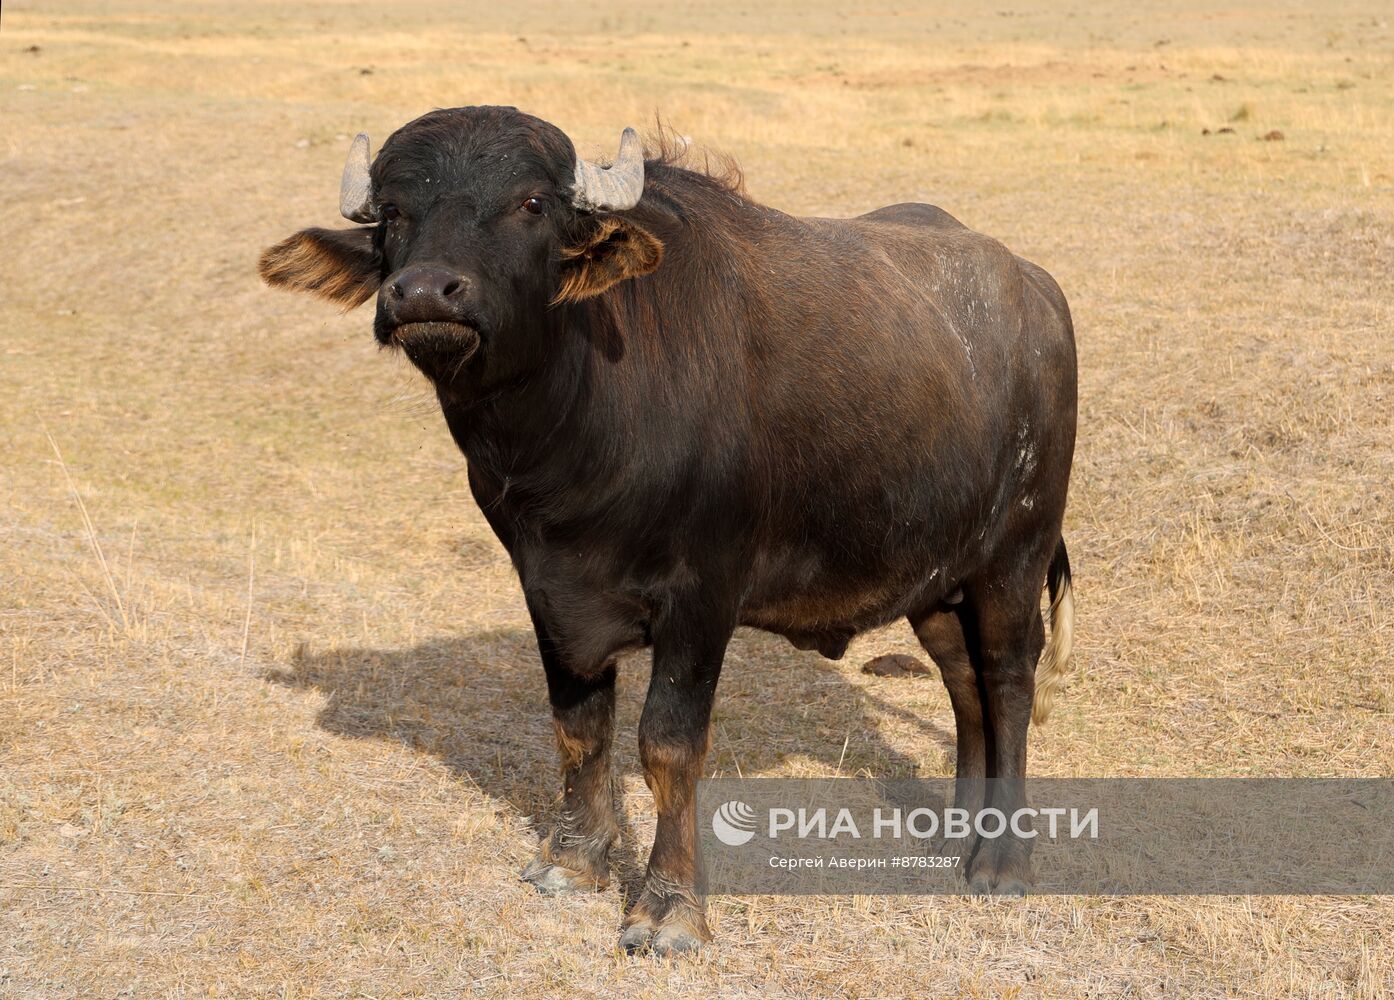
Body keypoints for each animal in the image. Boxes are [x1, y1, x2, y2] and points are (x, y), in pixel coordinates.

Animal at [262, 105, 1076, 953]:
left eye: (530, 203)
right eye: (393, 211)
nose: (424, 292)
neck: (571, 444)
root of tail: (1038, 291)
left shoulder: (703, 600)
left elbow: (668, 744)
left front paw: (668, 906)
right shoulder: (549, 591)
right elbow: (579, 727)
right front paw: (575, 859)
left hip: (1017, 555)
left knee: (1009, 681)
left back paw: (1002, 861)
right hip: (935, 579)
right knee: (964, 684)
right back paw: (961, 833)